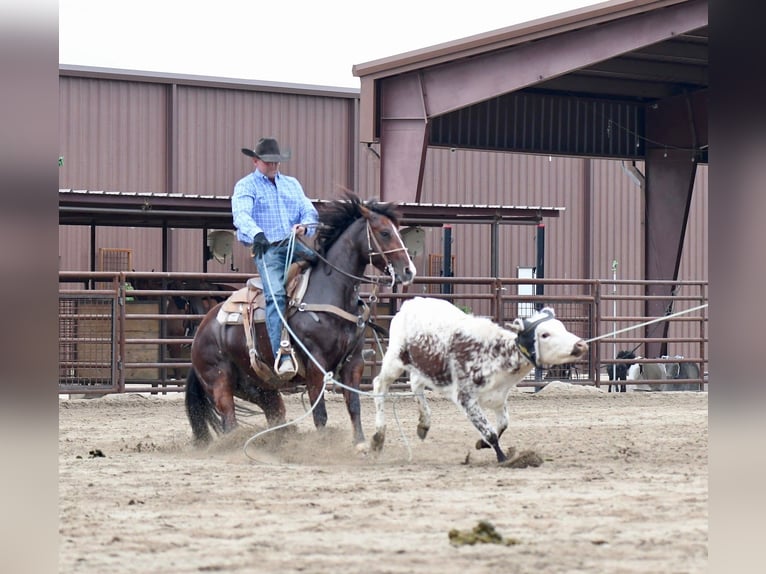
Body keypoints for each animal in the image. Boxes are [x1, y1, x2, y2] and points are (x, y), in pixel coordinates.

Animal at [184, 191, 417, 450]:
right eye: (384, 233)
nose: (409, 271)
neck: (331, 293)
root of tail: (202, 330)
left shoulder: (353, 362)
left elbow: (354, 406)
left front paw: (360, 444)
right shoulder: (316, 364)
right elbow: (320, 413)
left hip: (260, 388)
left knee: (274, 416)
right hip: (219, 380)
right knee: (229, 422)